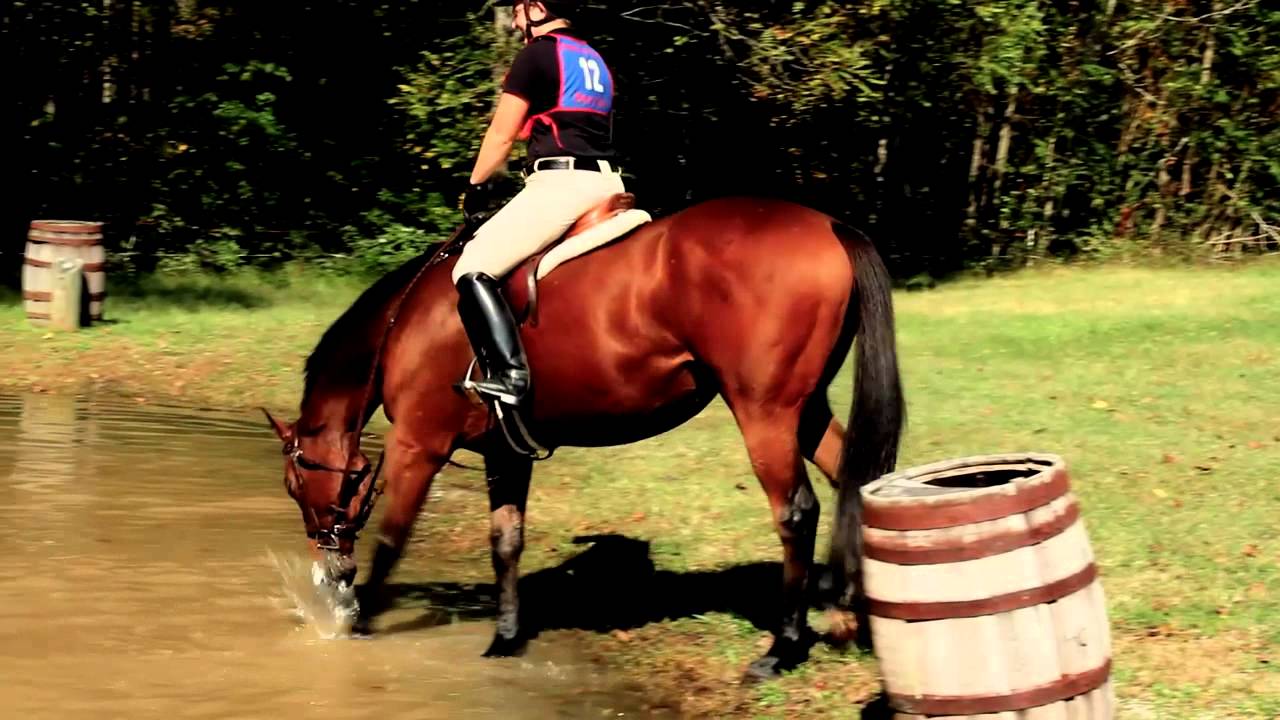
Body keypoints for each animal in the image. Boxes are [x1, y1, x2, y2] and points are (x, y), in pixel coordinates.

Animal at [262, 194, 906, 680]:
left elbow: (392, 540)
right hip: (805, 409)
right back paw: (849, 616)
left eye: (296, 485)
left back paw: (784, 646)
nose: (331, 569)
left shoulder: (418, 445)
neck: (406, 320)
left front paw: (355, 622)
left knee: (796, 511)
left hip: (765, 411)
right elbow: (506, 541)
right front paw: (505, 637)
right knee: (852, 480)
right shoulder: (505, 453)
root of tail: (829, 225)